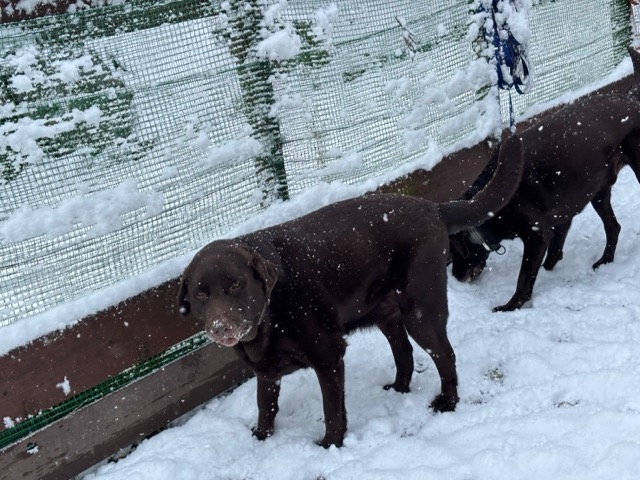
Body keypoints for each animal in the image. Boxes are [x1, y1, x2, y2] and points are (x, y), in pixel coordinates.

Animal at [177, 136, 523, 447]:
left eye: (236, 283)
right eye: (201, 294)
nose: (221, 327)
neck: (270, 315)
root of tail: (433, 207)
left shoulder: (329, 355)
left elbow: (332, 410)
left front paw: (330, 445)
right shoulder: (267, 371)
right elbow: (266, 406)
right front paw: (260, 439)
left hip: (421, 311)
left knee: (445, 354)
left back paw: (447, 402)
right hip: (387, 314)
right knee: (405, 353)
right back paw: (399, 388)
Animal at [450, 47, 640, 312]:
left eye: (452, 255)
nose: (455, 277)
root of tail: (631, 98)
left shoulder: (536, 235)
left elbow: (523, 277)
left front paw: (510, 306)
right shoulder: (562, 216)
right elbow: (553, 253)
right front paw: (549, 268)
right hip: (599, 192)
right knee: (613, 227)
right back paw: (605, 260)